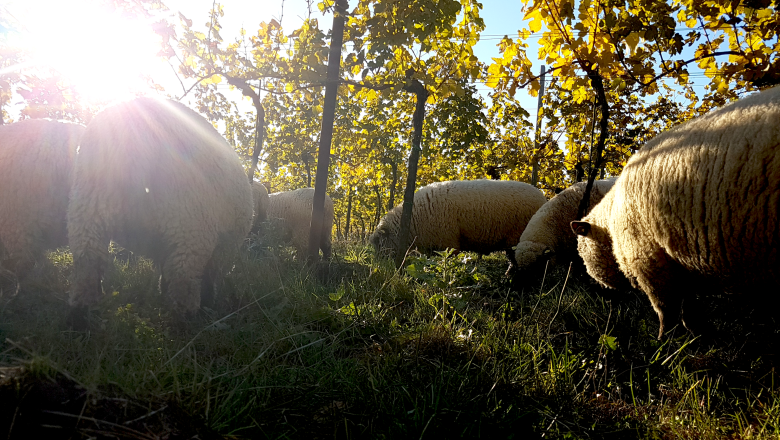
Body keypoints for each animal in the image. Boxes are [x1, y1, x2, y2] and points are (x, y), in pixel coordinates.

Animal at [67, 97, 253, 318]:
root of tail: (133, 134)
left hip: (90, 203)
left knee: (88, 260)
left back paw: (82, 313)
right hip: (189, 217)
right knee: (183, 278)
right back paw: (185, 319)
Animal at [571, 86, 780, 339]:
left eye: (582, 251)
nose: (598, 289)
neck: (612, 220)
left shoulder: (650, 261)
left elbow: (665, 309)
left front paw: (663, 340)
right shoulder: (684, 264)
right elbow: (689, 307)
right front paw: (697, 334)